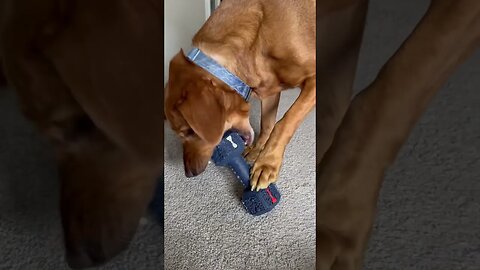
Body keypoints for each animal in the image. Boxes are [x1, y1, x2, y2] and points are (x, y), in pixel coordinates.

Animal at [164, 0, 316, 192]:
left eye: (190, 131)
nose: (189, 173)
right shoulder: (270, 88)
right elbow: (267, 124)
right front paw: (258, 151)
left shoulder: (313, 80)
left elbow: (284, 123)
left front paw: (267, 163)